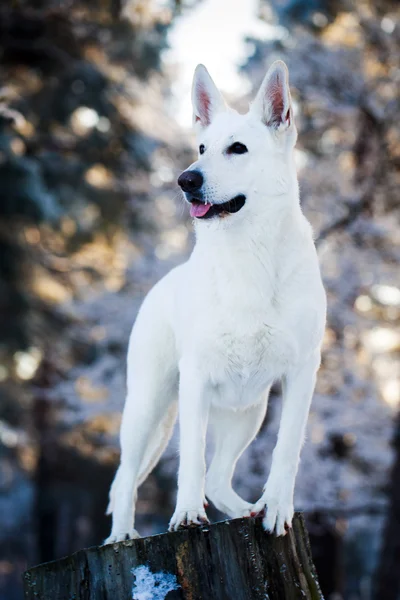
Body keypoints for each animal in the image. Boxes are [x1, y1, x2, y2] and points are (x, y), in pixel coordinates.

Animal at [104, 59, 326, 544]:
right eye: (202, 147)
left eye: (237, 149)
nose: (186, 179)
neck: (248, 252)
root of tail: (162, 284)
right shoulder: (196, 379)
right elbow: (191, 457)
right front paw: (186, 515)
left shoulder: (302, 373)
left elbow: (286, 450)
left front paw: (276, 508)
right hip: (148, 405)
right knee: (127, 477)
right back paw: (121, 536)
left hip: (248, 410)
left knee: (220, 479)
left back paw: (248, 509)